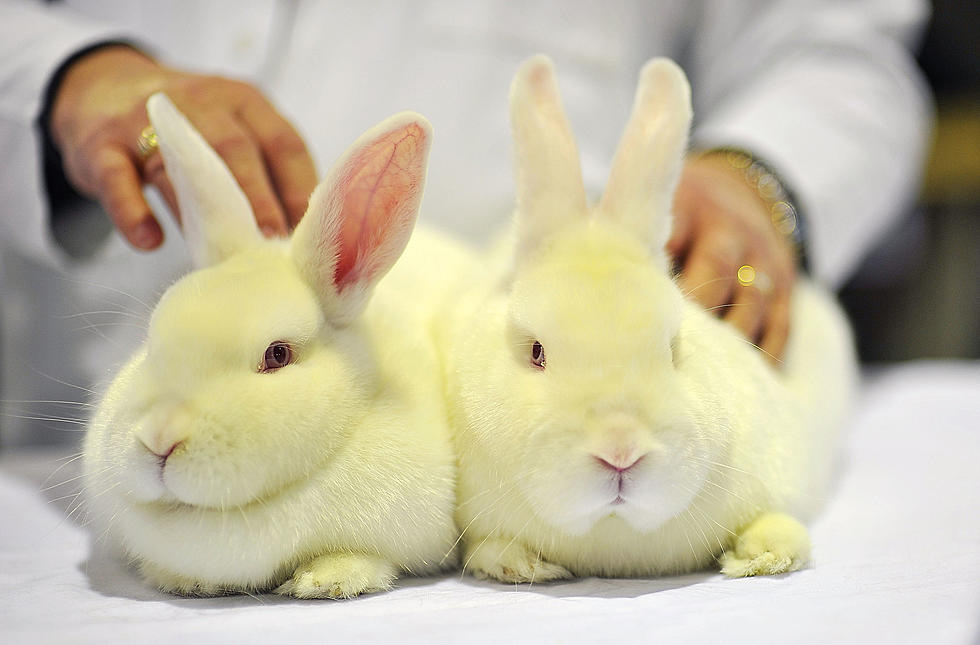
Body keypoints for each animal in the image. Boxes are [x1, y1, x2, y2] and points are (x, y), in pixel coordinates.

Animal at [81, 93, 460, 596]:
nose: (159, 439)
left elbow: (363, 557)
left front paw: (327, 579)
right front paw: (181, 580)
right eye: (152, 338)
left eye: (277, 354)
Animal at [446, 54, 856, 580]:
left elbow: (779, 520)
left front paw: (764, 554)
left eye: (673, 348)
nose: (620, 452)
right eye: (537, 352)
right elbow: (487, 548)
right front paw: (522, 564)